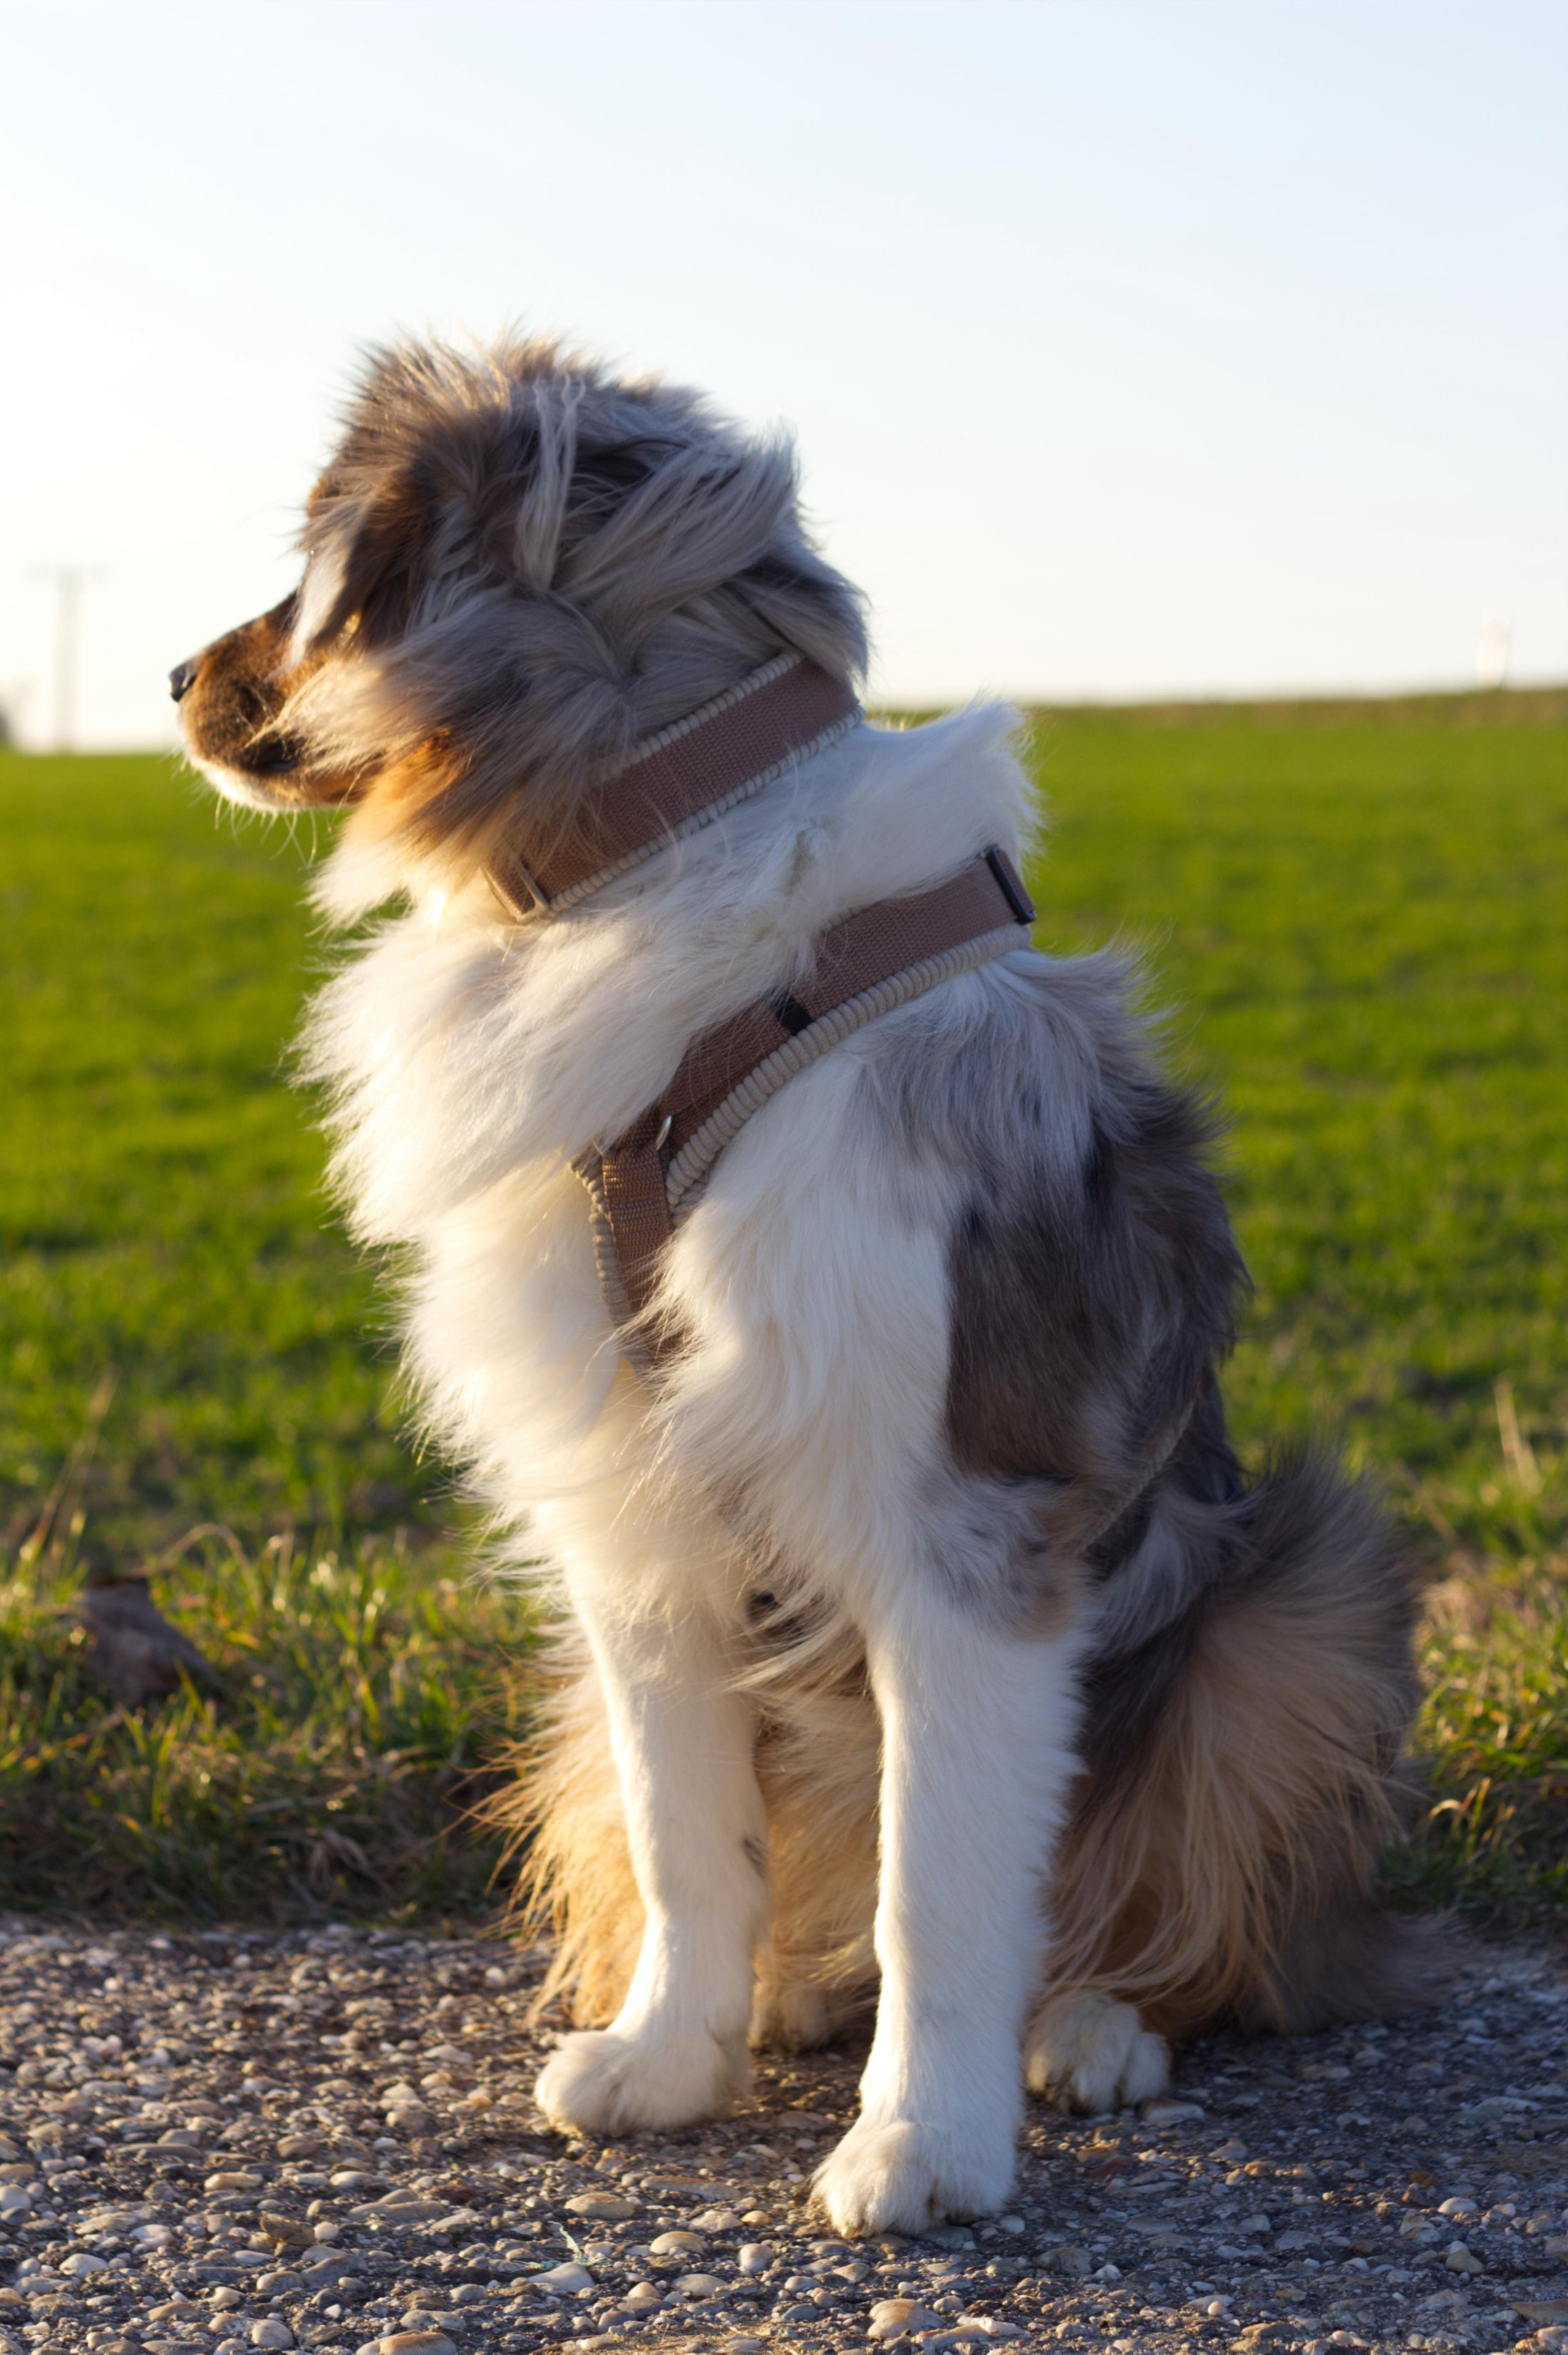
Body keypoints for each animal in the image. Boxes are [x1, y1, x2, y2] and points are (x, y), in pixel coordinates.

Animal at [174, 331, 1440, 2222]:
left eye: (314, 569)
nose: (174, 672)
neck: (646, 853)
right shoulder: (630, 1509)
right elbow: (688, 1829)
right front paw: (670, 2055)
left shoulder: (961, 1521)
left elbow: (943, 1880)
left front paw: (920, 2144)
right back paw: (790, 2000)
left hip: (1300, 1603)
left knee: (1200, 1927)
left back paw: (1094, 2027)